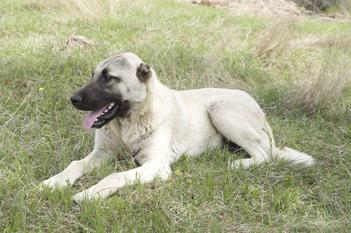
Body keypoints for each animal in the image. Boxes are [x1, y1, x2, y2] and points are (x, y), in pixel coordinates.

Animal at [42, 52, 316, 201]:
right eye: (93, 74)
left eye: (108, 78)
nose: (73, 99)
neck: (130, 122)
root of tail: (256, 106)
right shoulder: (102, 154)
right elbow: (75, 164)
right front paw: (55, 182)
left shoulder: (155, 166)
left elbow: (114, 175)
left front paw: (88, 194)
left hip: (221, 110)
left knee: (266, 155)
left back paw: (238, 164)